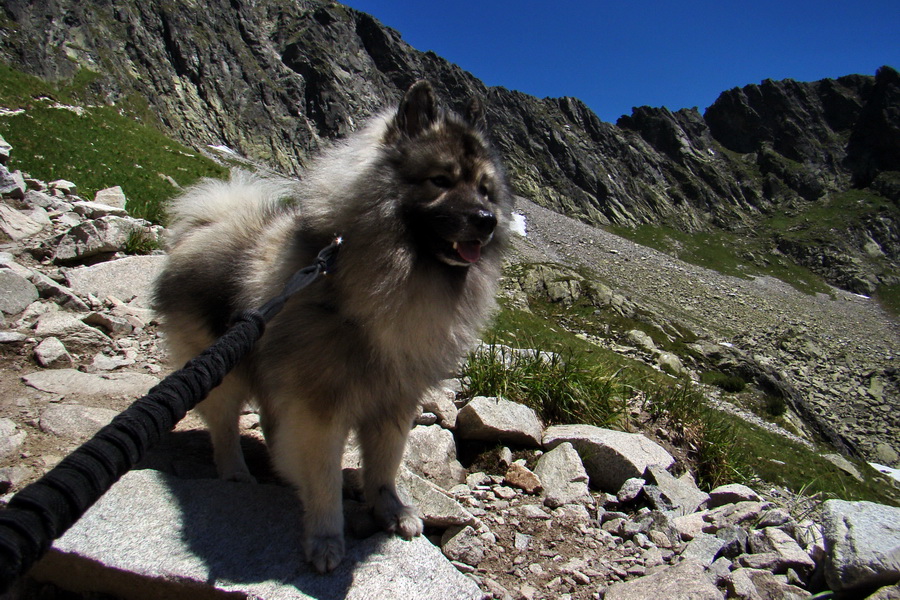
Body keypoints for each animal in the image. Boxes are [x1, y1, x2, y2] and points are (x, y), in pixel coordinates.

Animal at [155, 81, 512, 572]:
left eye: (484, 190)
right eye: (440, 180)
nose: (487, 220)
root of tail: (209, 224)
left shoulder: (394, 401)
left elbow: (384, 466)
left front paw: (390, 509)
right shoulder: (320, 405)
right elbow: (323, 475)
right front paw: (325, 537)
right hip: (220, 369)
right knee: (225, 426)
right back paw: (236, 472)